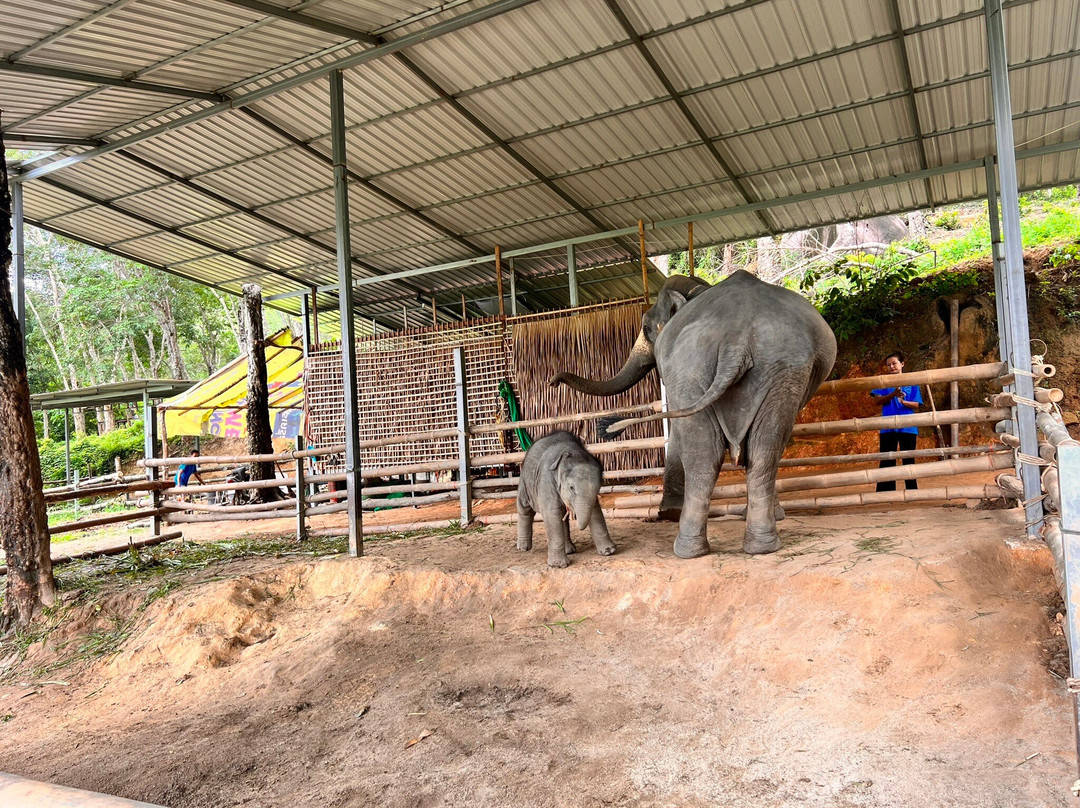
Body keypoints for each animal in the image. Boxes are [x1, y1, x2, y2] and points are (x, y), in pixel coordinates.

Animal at [516, 429, 617, 566]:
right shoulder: (546, 480)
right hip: (525, 482)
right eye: (571, 488)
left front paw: (609, 551)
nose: (580, 527)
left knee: (562, 516)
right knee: (524, 509)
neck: (569, 451)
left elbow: (595, 510)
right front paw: (559, 565)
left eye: (598, 488)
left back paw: (569, 550)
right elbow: (551, 513)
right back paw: (523, 548)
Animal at [548, 271, 833, 557]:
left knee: (704, 454)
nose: (552, 381)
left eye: (647, 328)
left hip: (693, 367)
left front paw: (668, 512)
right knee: (764, 449)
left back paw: (687, 548)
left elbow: (678, 432)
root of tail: (736, 341)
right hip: (780, 371)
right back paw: (761, 546)